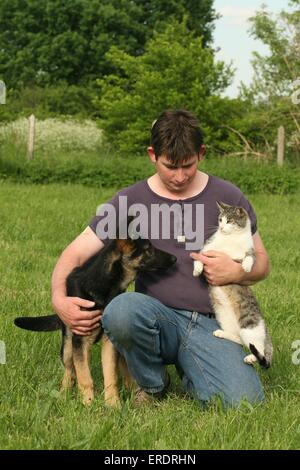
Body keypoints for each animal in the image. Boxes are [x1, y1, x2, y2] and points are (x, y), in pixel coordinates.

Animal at [14, 235, 177, 408]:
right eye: (148, 249)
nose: (174, 258)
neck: (105, 285)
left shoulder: (109, 343)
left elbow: (111, 375)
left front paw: (113, 404)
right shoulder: (80, 340)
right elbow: (84, 377)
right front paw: (88, 403)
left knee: (124, 369)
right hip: (68, 347)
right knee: (70, 371)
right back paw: (64, 395)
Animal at [193, 200, 274, 370]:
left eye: (229, 221)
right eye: (220, 220)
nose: (222, 227)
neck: (231, 238)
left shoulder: (250, 251)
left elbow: (250, 258)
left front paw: (246, 267)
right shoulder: (207, 249)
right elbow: (198, 258)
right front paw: (197, 270)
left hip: (249, 326)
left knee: (259, 350)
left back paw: (250, 357)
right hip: (225, 319)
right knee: (239, 340)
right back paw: (222, 334)